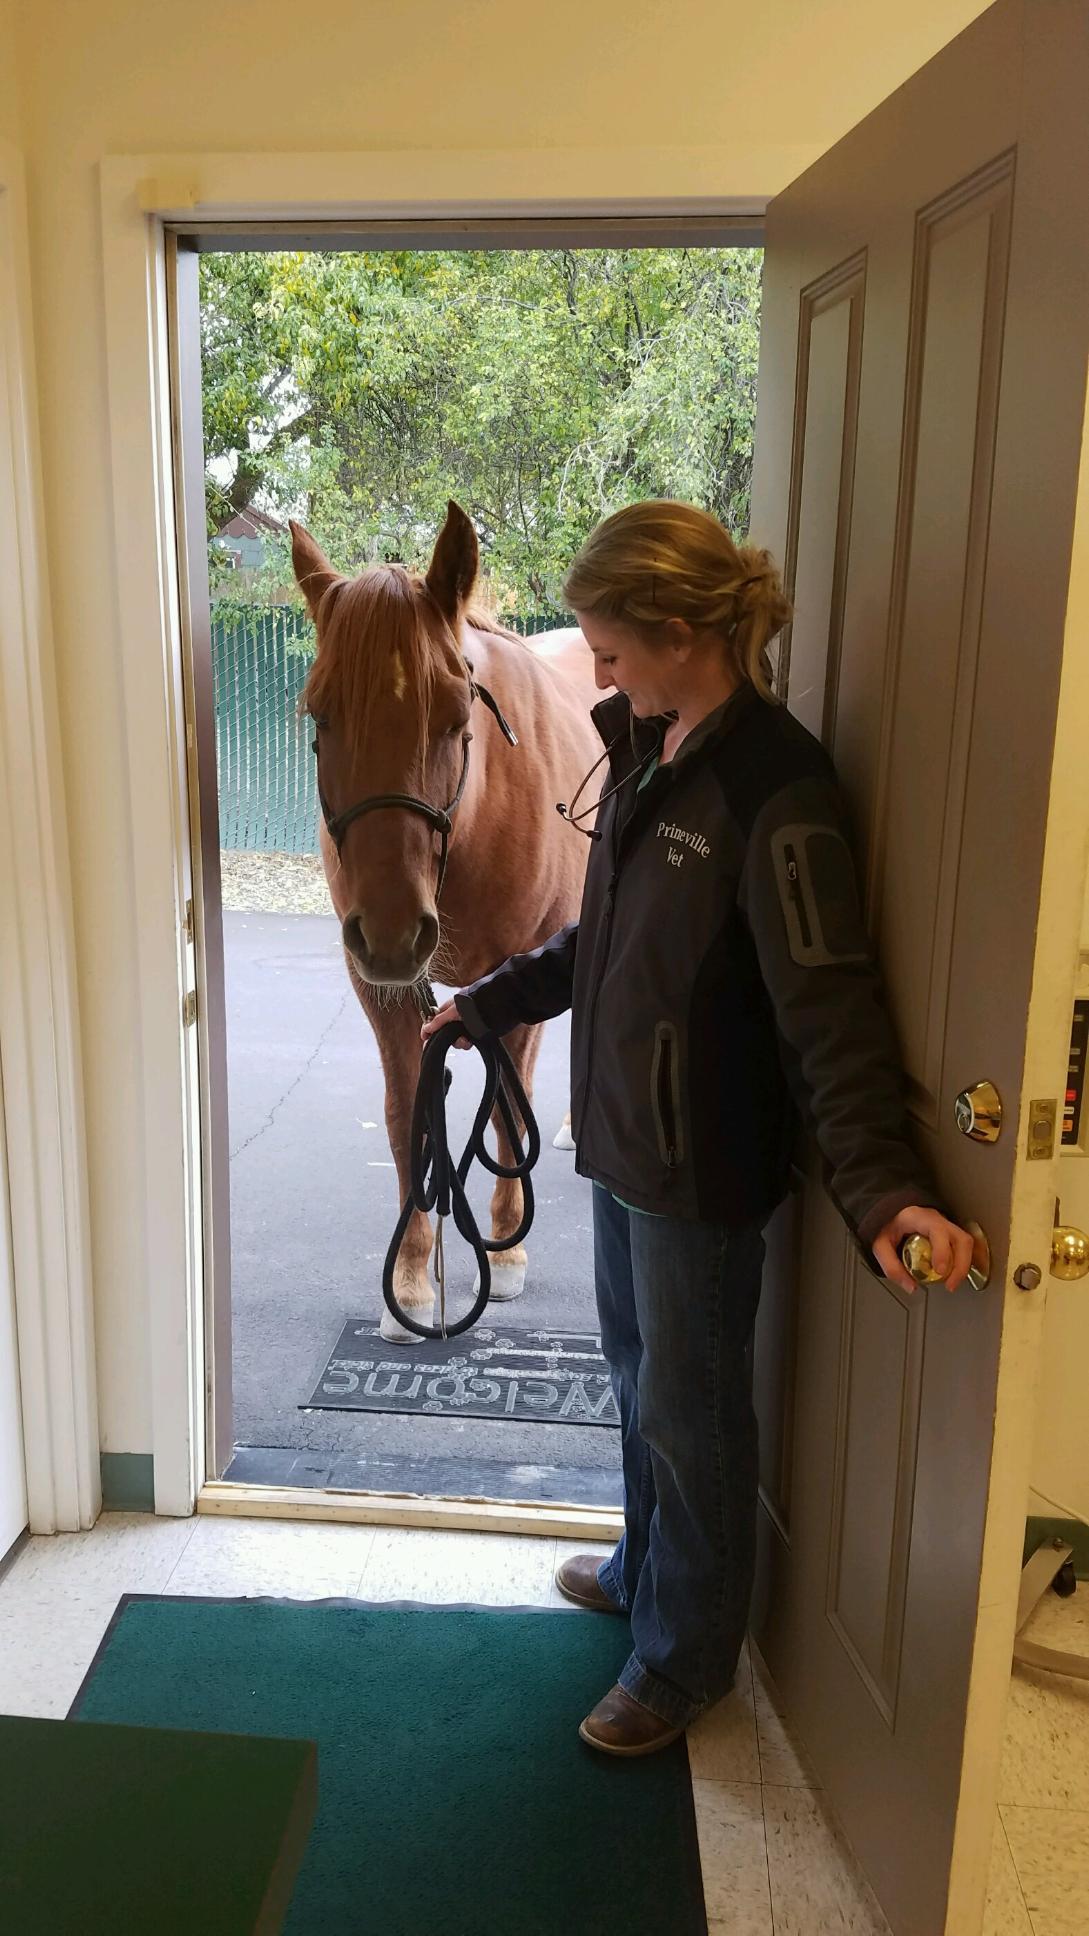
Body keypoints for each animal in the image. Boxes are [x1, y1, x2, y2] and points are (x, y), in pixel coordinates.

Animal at [290, 502, 599, 1343]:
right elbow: (407, 1117)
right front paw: (410, 1276)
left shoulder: (513, 981)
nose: (394, 929)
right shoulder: (385, 987)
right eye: (318, 711)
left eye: (458, 712)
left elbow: (505, 1107)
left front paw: (506, 1247)